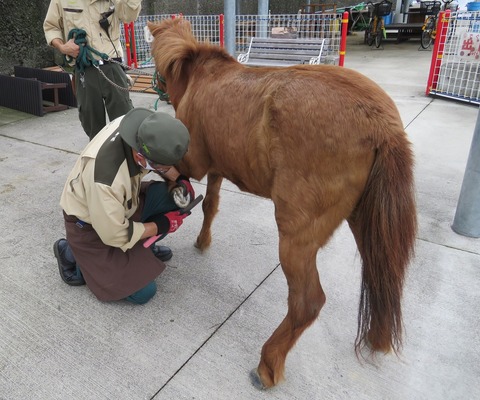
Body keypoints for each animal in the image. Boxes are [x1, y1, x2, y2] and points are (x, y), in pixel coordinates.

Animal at [148, 19, 418, 390]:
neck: (200, 76)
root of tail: (382, 125)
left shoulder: (194, 164)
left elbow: (180, 182)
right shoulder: (217, 168)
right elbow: (211, 205)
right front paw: (203, 242)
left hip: (297, 238)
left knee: (307, 303)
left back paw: (268, 363)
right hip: (366, 223)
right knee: (381, 276)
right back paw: (377, 338)